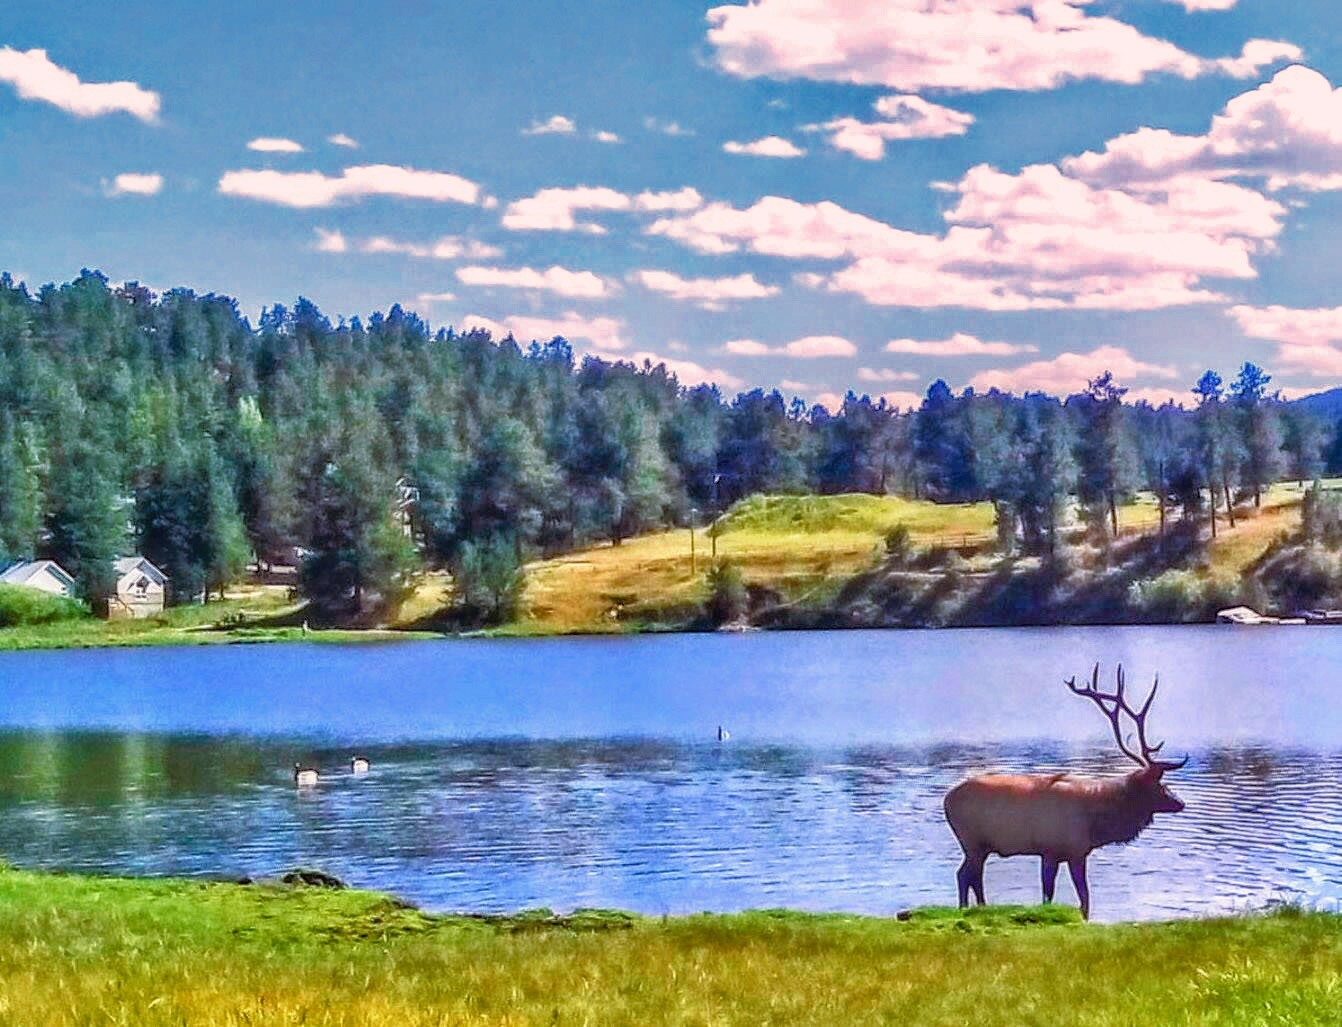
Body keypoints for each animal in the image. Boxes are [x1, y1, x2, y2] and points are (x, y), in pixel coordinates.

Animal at [943, 664, 1187, 919]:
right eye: (1160, 785)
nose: (1180, 802)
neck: (1096, 822)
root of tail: (946, 800)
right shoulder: (1066, 850)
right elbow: (1080, 897)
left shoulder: (1055, 853)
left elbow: (1052, 894)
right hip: (971, 841)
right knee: (964, 875)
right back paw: (966, 908)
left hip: (981, 846)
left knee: (973, 876)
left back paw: (980, 907)